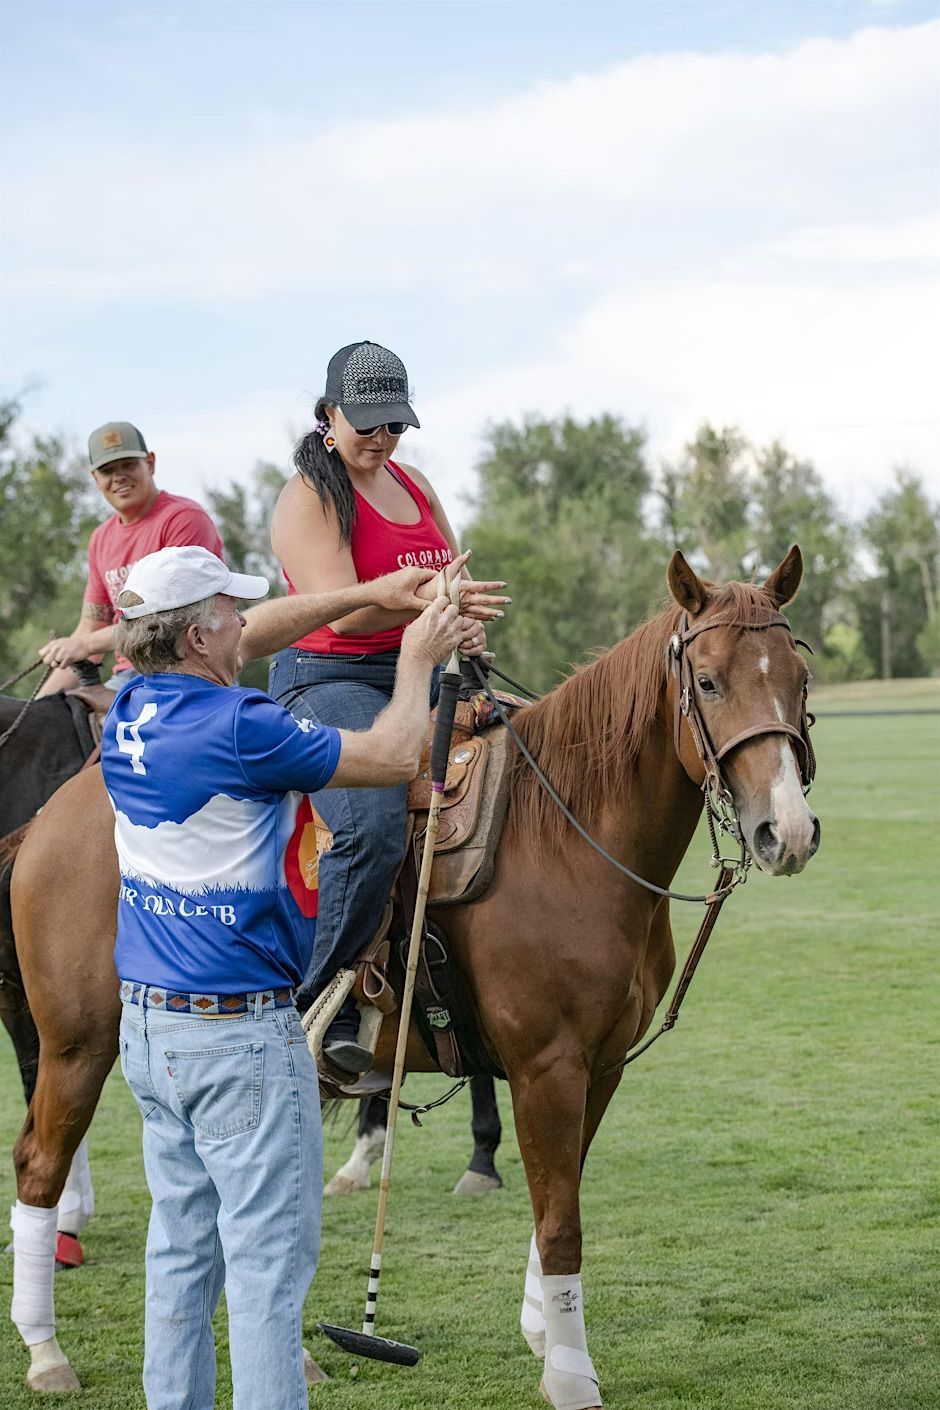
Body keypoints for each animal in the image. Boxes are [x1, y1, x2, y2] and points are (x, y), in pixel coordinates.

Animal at [8, 548, 819, 1404]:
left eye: (800, 681)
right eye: (709, 683)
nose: (788, 832)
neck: (568, 838)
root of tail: (48, 820)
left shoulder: (600, 1067)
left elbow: (555, 1204)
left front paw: (543, 1334)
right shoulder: (548, 1067)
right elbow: (561, 1221)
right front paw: (571, 1376)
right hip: (78, 1044)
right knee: (38, 1165)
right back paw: (45, 1349)